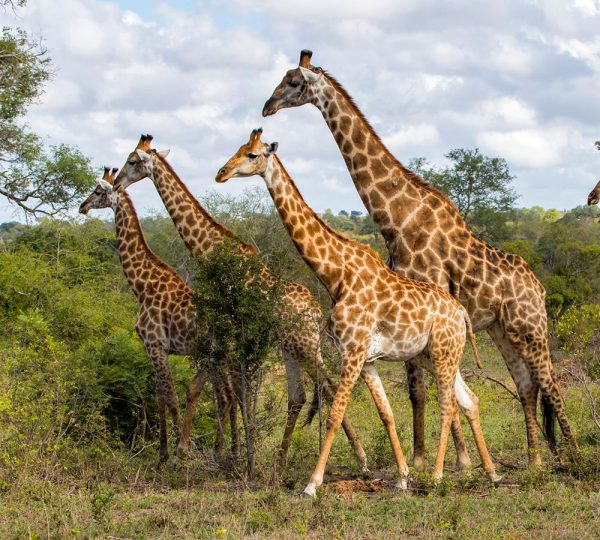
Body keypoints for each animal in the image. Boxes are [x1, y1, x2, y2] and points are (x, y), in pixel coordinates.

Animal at [110, 133, 368, 470]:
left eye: (132, 161)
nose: (116, 185)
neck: (213, 250)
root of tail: (314, 310)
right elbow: (233, 391)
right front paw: (236, 453)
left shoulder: (230, 332)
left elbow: (230, 391)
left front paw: (229, 454)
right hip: (293, 346)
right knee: (301, 395)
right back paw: (282, 459)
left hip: (302, 344)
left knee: (327, 385)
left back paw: (359, 456)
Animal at [213, 130, 500, 498]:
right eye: (237, 148)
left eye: (252, 154)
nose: (221, 173)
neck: (335, 274)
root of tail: (461, 311)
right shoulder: (367, 359)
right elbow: (386, 413)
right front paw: (402, 478)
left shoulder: (351, 351)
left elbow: (336, 412)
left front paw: (312, 484)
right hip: (437, 355)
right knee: (468, 399)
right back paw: (491, 473)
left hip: (442, 352)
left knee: (449, 404)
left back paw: (438, 477)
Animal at [262, 48, 576, 466]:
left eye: (294, 82)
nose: (266, 106)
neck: (397, 219)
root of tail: (539, 287)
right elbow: (419, 390)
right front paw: (436, 459)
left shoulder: (426, 300)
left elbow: (428, 389)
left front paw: (444, 461)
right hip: (502, 329)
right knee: (527, 385)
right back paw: (535, 461)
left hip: (530, 326)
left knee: (551, 383)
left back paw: (573, 457)